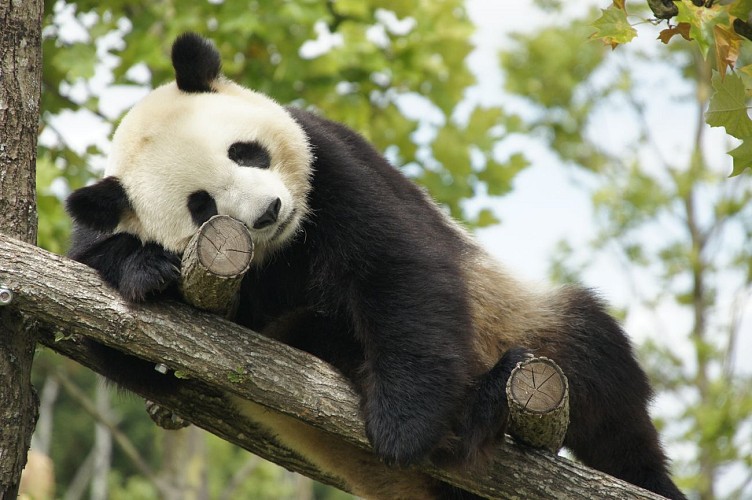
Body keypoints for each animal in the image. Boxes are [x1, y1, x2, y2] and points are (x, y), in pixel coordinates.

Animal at [66, 33, 685, 500]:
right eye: (201, 206)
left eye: (245, 152)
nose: (269, 212)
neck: (283, 252)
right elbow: (131, 355)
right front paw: (143, 269)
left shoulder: (332, 164)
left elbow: (396, 268)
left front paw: (402, 427)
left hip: (526, 323)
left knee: (601, 380)